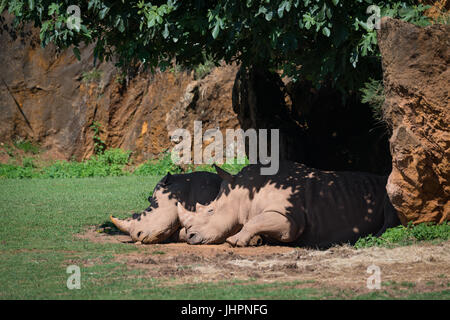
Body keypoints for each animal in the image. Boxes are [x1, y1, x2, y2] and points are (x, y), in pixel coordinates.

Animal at [178, 161, 400, 249]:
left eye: (210, 210)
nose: (189, 237)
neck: (245, 194)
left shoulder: (289, 218)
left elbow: (256, 221)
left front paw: (234, 241)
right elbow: (256, 221)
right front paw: (256, 241)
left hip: (386, 190)